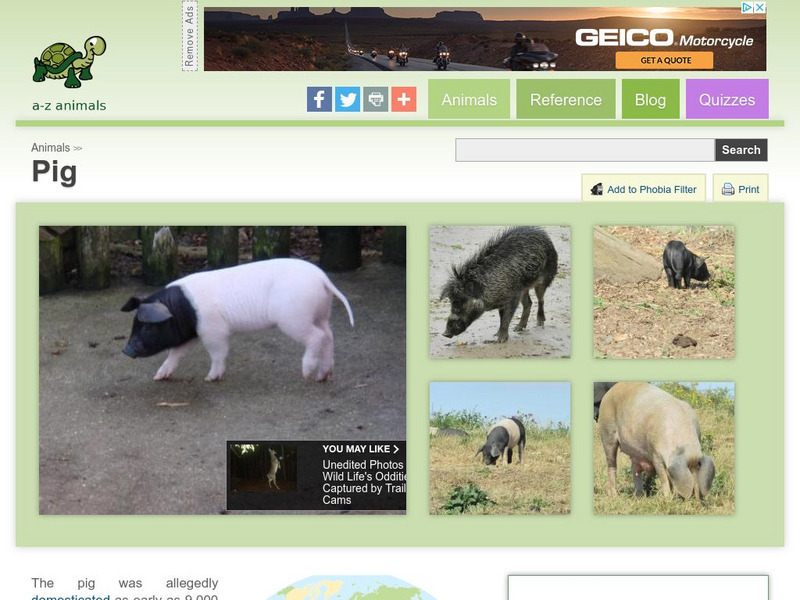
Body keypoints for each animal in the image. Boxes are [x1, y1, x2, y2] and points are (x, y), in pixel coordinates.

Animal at [121, 258, 354, 382]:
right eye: (134, 324)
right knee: (329, 336)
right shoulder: (191, 333)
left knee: (317, 337)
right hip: (321, 314)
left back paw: (306, 374)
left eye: (147, 327)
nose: (126, 350)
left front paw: (210, 378)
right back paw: (323, 376)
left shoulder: (213, 330)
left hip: (294, 318)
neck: (180, 309)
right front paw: (158, 377)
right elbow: (175, 353)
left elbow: (218, 353)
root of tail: (323, 279)